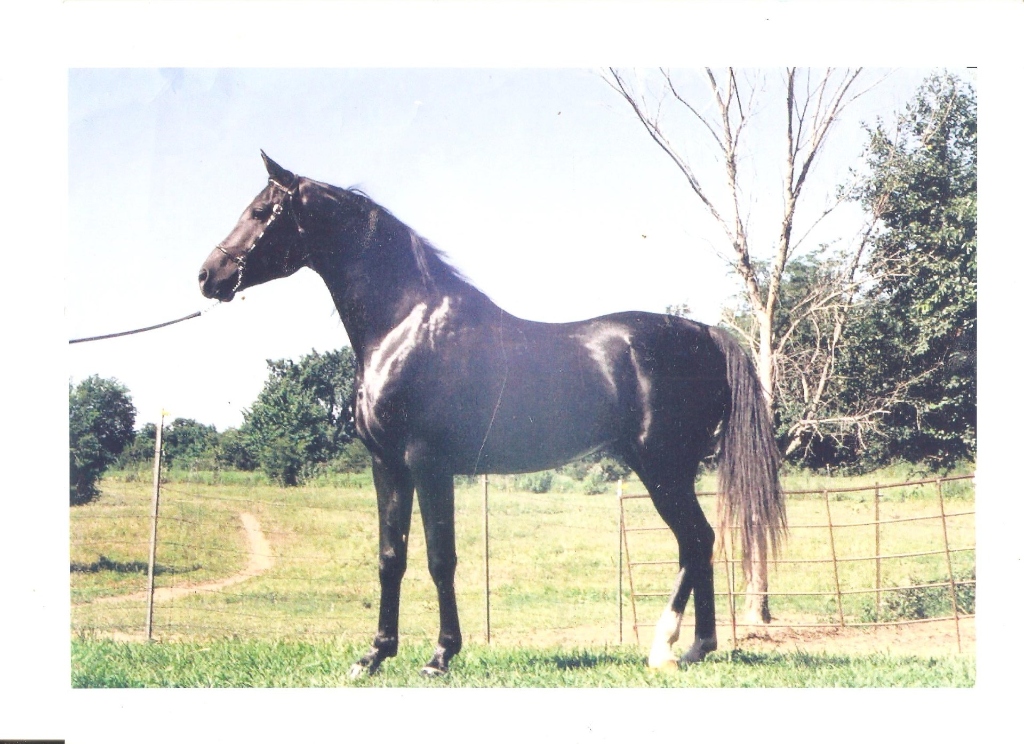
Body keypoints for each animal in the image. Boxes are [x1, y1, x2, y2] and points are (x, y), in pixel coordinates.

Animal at [198, 152, 786, 676]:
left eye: (260, 211)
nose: (208, 275)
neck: (403, 327)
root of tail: (706, 335)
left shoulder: (430, 464)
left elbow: (440, 559)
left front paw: (440, 656)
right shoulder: (386, 465)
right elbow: (391, 557)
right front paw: (374, 655)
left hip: (662, 467)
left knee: (696, 540)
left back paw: (665, 648)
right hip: (670, 469)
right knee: (699, 543)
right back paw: (697, 648)